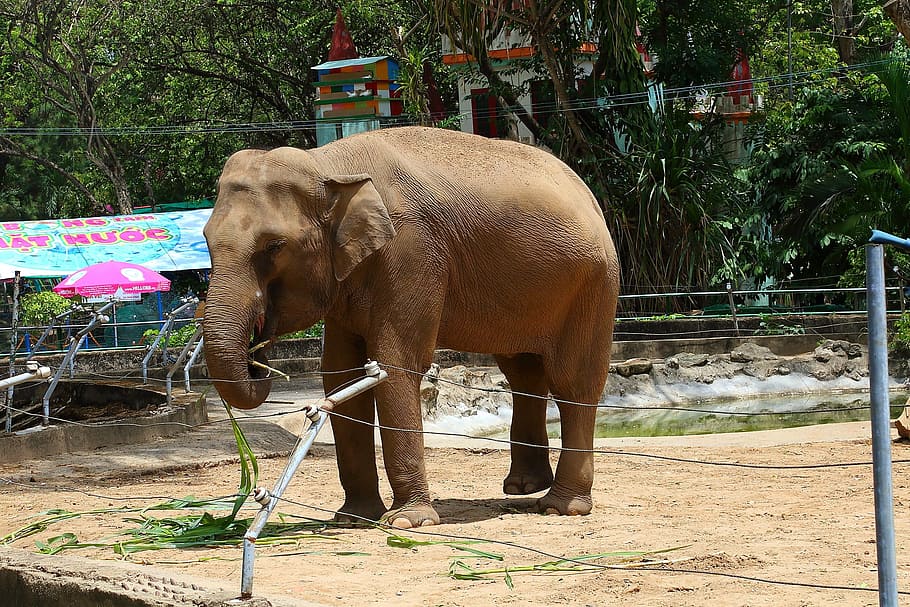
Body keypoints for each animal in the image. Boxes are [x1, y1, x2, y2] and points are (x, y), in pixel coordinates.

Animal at [202, 126, 619, 528]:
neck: (327, 164)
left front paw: (406, 520)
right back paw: (523, 487)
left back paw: (560, 507)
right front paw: (352, 519)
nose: (258, 354)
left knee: (572, 381)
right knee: (523, 373)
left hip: (593, 285)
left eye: (274, 246)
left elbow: (395, 366)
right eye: (205, 240)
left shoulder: (411, 251)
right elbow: (340, 375)